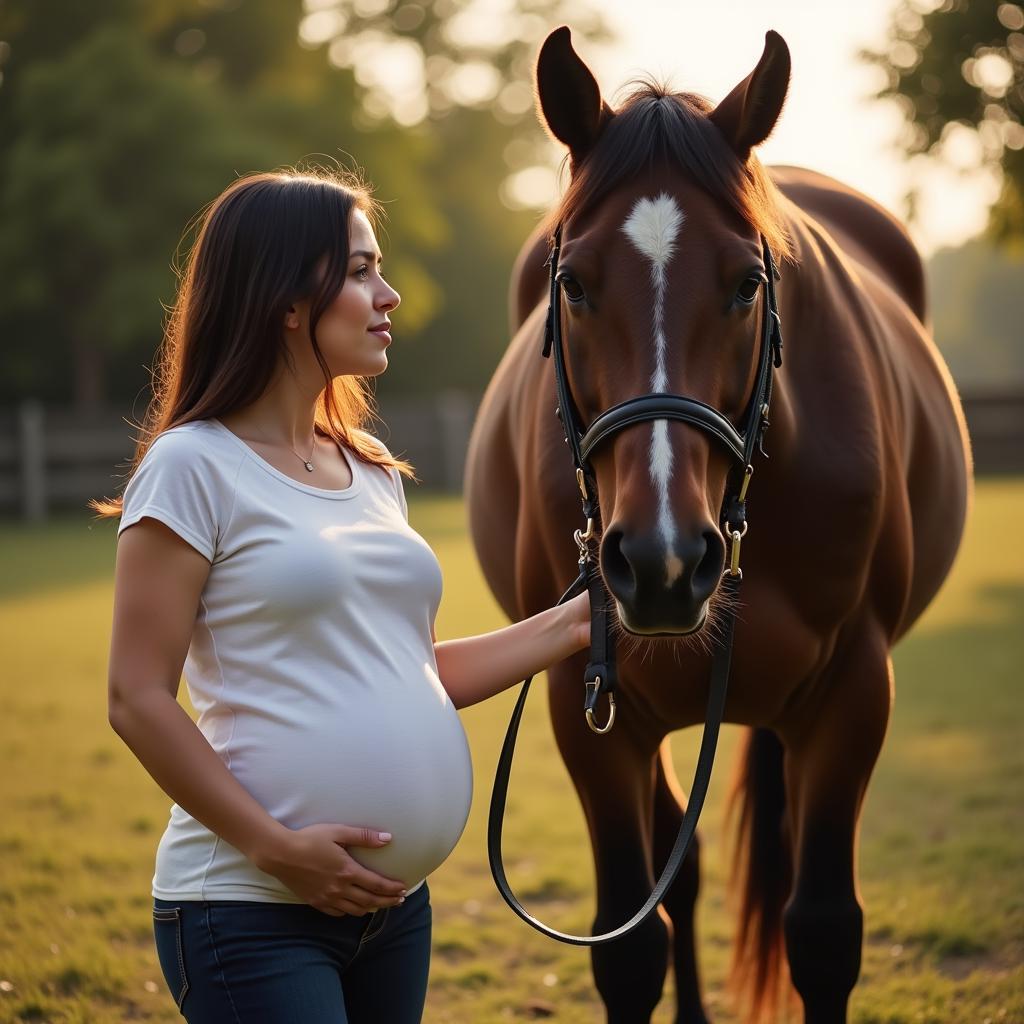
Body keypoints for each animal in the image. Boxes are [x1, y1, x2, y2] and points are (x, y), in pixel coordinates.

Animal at [468, 22, 970, 1024]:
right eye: (571, 282)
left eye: (746, 284)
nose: (661, 562)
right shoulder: (590, 706)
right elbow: (630, 942)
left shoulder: (853, 694)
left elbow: (822, 934)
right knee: (683, 871)